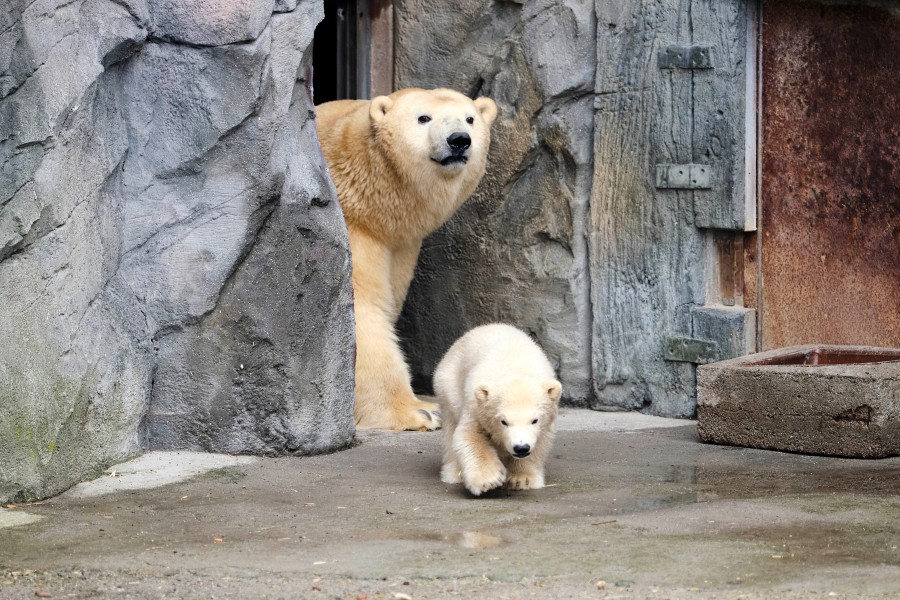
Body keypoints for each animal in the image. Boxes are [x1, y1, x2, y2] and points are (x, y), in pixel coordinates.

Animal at [316, 86, 500, 432]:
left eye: (470, 118)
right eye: (423, 118)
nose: (459, 140)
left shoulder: (400, 244)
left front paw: (428, 406)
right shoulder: (350, 224)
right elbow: (361, 308)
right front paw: (419, 412)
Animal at [432, 326, 560, 494]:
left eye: (534, 420)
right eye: (503, 421)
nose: (521, 448)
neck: (515, 369)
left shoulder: (546, 423)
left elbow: (541, 442)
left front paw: (522, 479)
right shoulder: (477, 404)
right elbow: (469, 435)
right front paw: (488, 480)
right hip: (449, 386)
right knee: (450, 427)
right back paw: (455, 474)